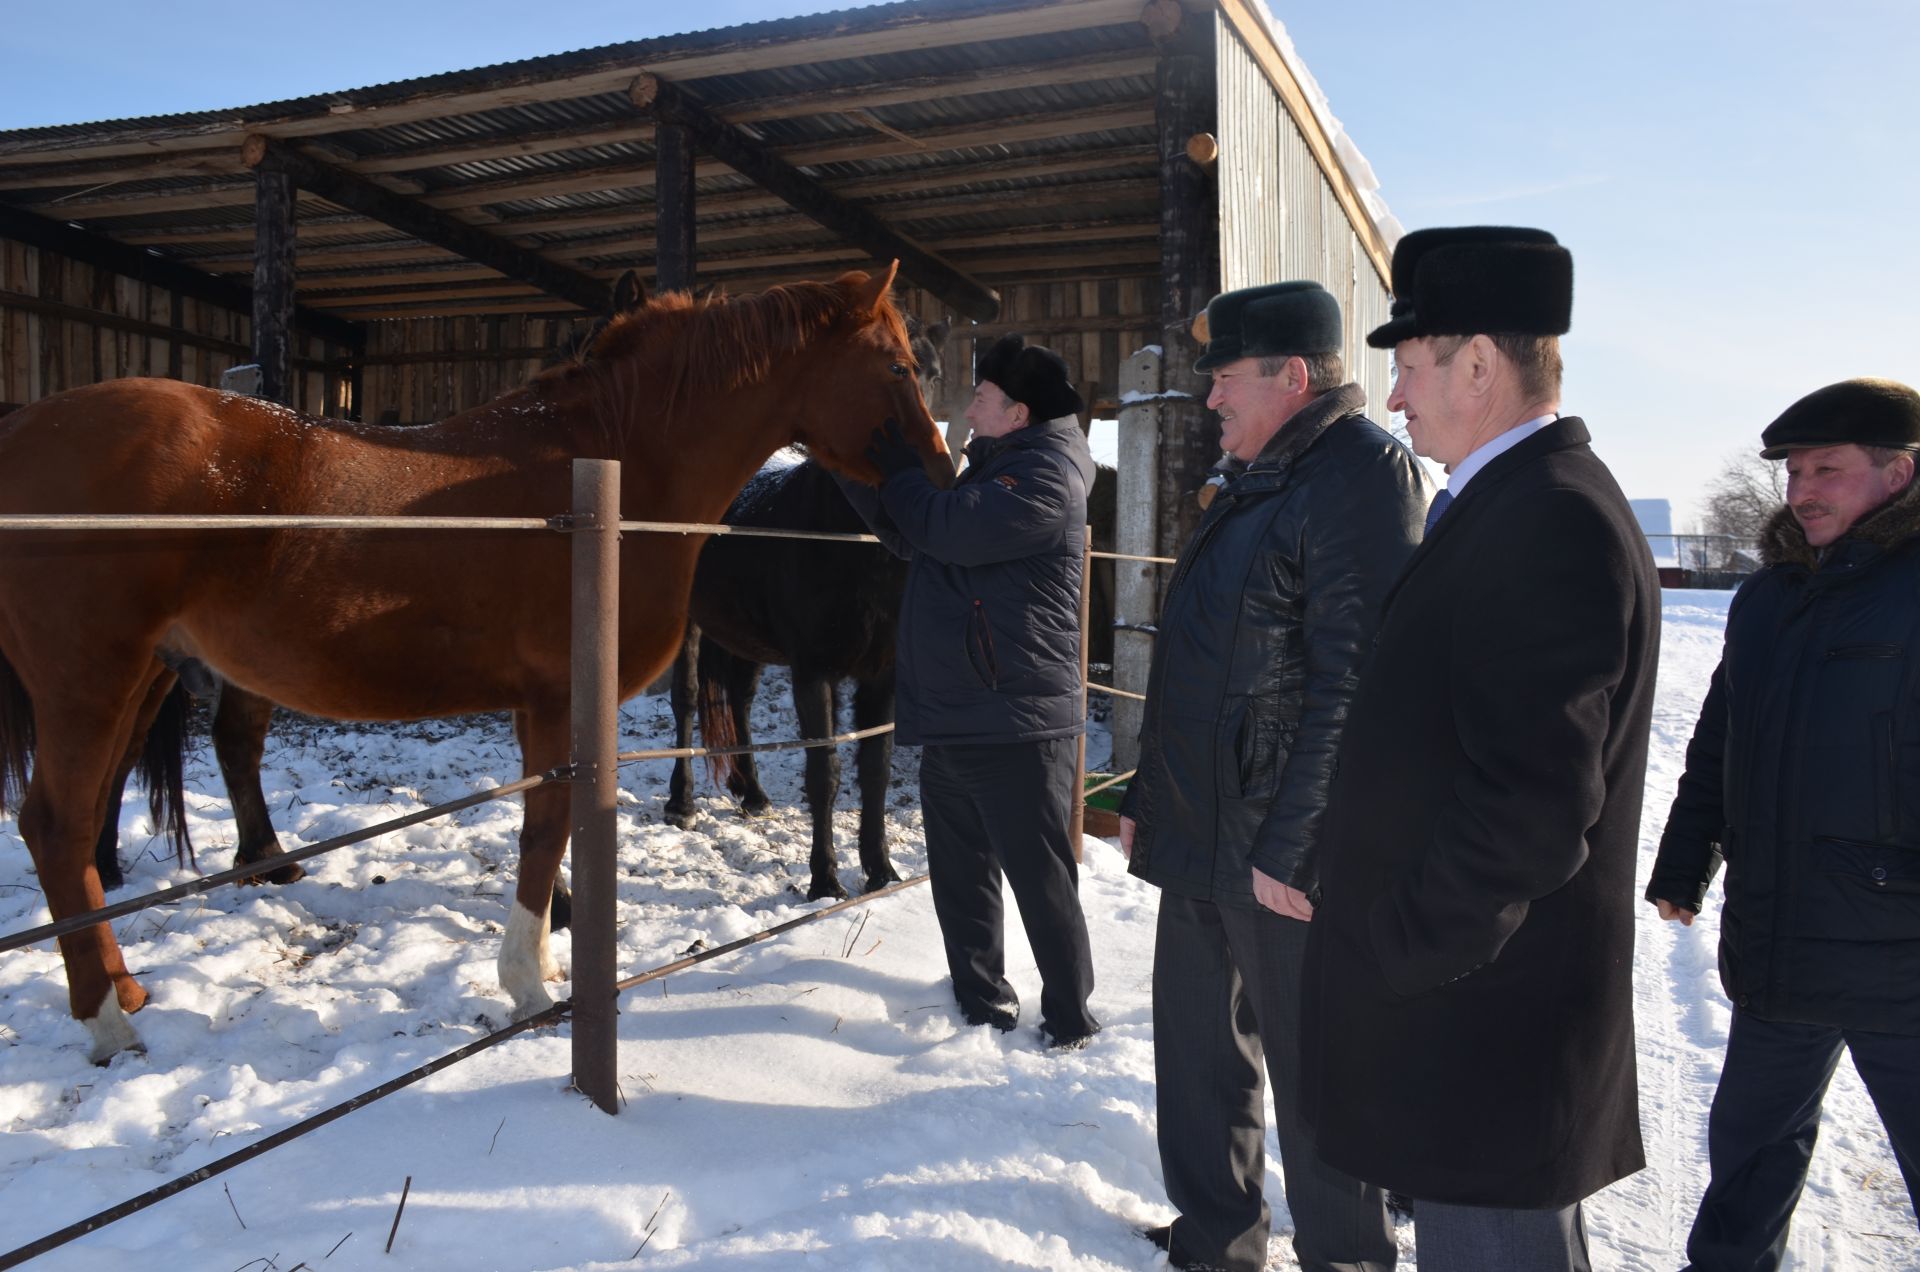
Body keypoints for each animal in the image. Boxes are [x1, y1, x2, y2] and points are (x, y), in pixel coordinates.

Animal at [664, 317, 948, 903]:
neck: (854, 543)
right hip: (692, 625)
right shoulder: (814, 672)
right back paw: (681, 804)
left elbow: (875, 771)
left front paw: (882, 872)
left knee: (739, 699)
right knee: (687, 699)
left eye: (932, 372)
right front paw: (825, 880)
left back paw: (752, 793)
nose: (934, 471)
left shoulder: (882, 677)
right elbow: (825, 773)